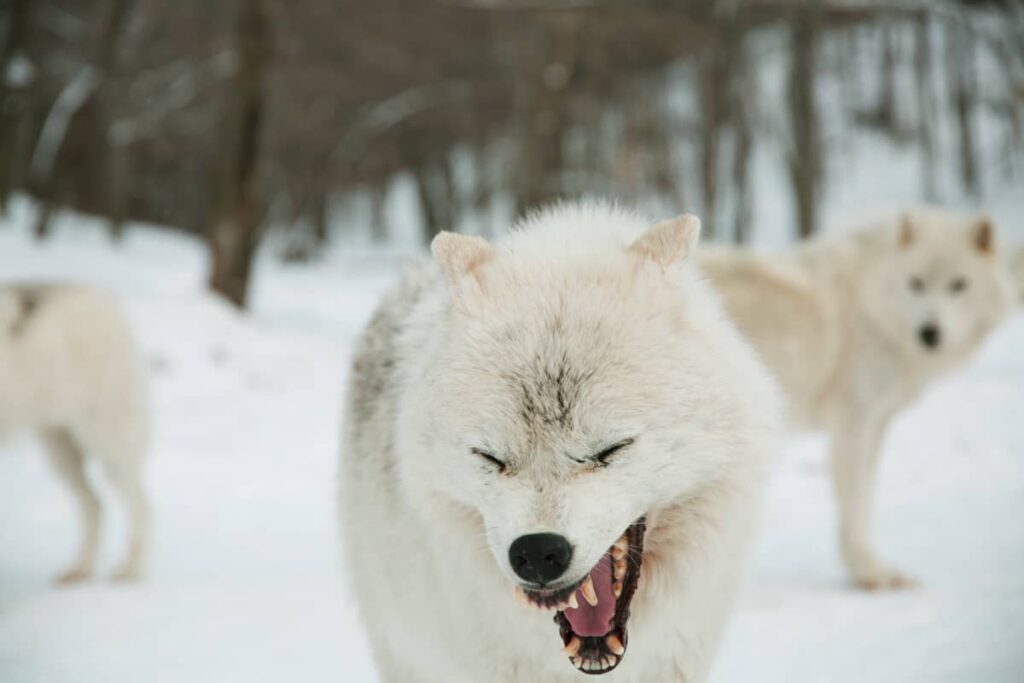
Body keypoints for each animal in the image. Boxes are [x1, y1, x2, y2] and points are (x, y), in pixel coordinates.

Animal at [0, 284, 150, 583]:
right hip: (60, 448)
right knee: (95, 504)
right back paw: (81, 568)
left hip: (108, 441)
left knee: (141, 505)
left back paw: (129, 569)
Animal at [700, 207, 1014, 589]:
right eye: (916, 283)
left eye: (959, 284)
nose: (929, 333)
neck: (870, 302)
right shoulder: (855, 421)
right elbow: (856, 501)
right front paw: (870, 573)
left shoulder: (878, 422)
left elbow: (866, 496)